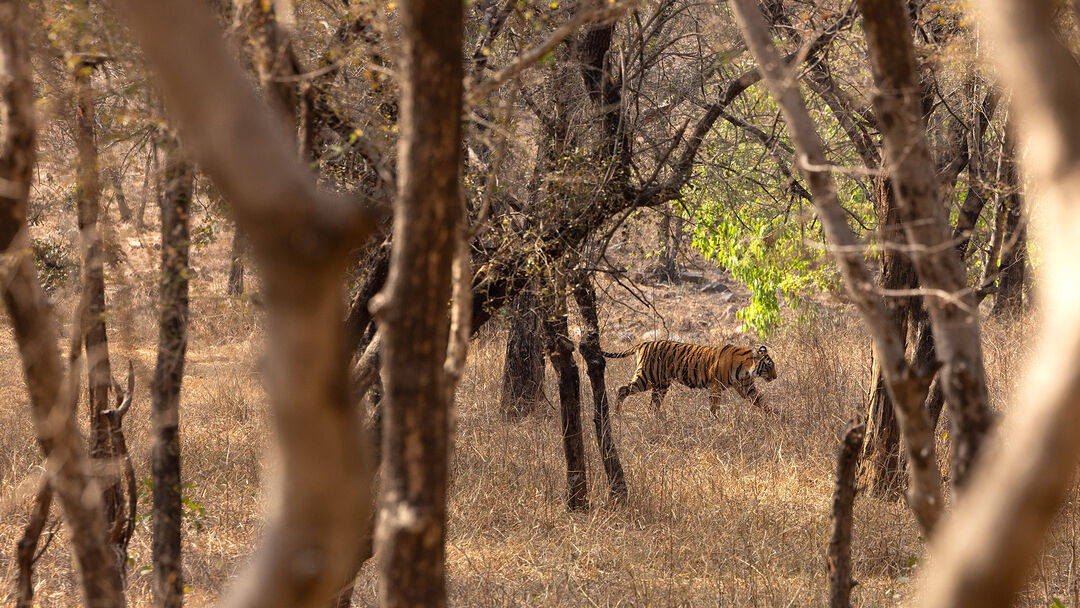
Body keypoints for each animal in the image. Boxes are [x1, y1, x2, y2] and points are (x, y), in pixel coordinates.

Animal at [602, 340, 777, 417]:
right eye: (769, 366)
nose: (775, 377)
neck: (747, 370)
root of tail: (643, 343)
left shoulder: (747, 388)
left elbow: (762, 402)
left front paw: (778, 416)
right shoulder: (715, 386)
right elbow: (714, 406)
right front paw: (714, 420)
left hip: (661, 385)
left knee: (653, 404)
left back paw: (656, 420)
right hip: (647, 377)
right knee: (622, 389)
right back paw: (617, 415)